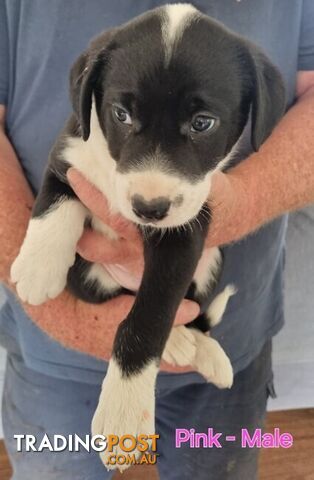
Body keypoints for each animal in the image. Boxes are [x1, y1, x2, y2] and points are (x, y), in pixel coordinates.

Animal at [10, 2, 284, 468]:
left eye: (202, 123)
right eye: (121, 114)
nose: (148, 209)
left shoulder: (184, 237)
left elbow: (150, 316)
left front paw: (124, 410)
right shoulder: (68, 150)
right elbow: (54, 199)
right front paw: (37, 267)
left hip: (212, 261)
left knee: (187, 310)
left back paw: (203, 350)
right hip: (90, 277)